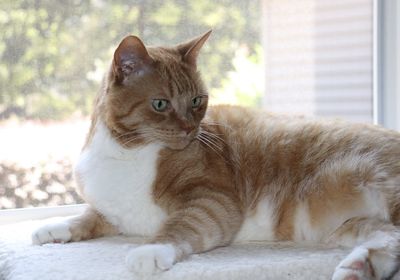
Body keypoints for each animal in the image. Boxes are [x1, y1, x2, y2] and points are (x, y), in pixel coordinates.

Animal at [31, 31, 400, 280]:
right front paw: (53, 228)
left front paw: (150, 250)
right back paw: (358, 266)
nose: (188, 129)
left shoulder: (213, 199)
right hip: (354, 225)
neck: (126, 154)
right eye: (160, 103)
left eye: (197, 100)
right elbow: (86, 216)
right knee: (390, 238)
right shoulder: (113, 211)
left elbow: (181, 226)